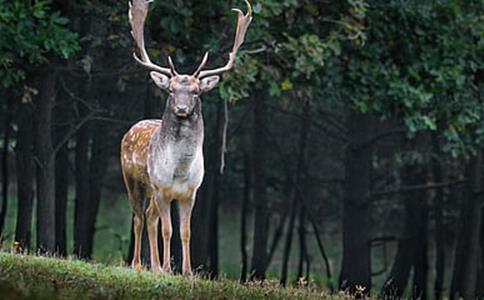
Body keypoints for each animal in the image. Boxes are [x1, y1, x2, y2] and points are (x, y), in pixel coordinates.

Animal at [120, 0, 253, 276]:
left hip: (152, 191)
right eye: (171, 90)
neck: (179, 171)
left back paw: (154, 266)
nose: (181, 108)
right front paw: (168, 268)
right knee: (138, 216)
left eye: (195, 91)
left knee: (149, 216)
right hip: (133, 180)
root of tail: (131, 129)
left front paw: (187, 272)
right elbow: (168, 230)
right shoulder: (162, 189)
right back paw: (138, 264)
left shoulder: (190, 193)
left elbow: (185, 231)